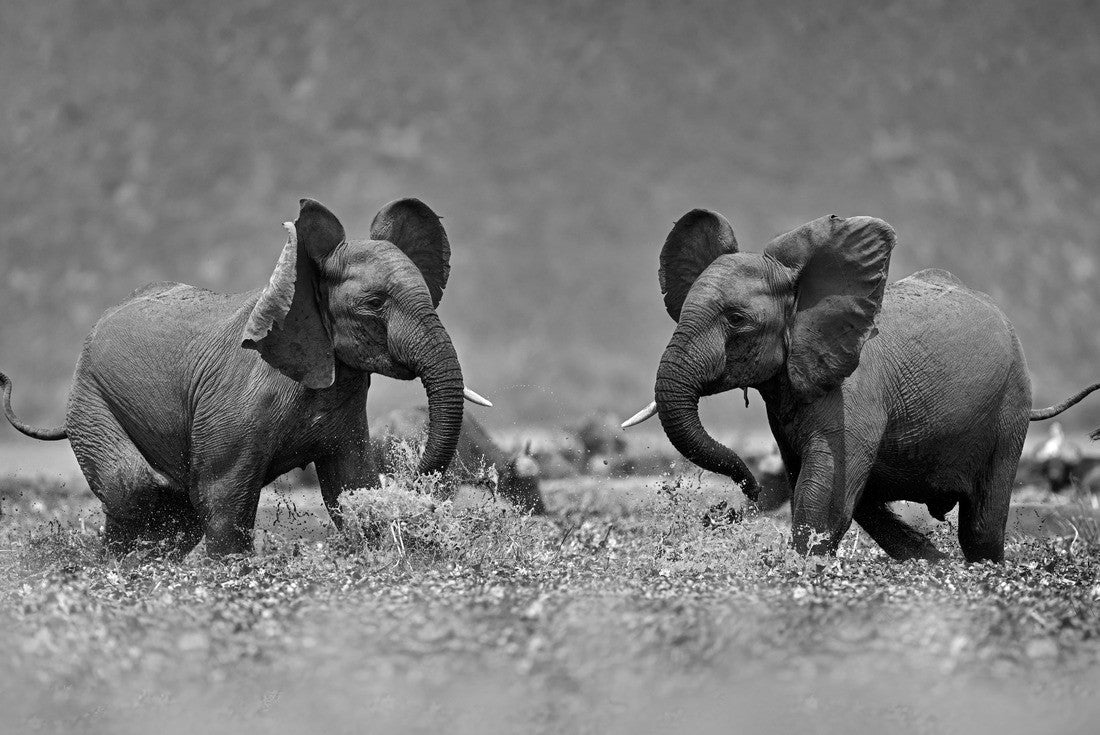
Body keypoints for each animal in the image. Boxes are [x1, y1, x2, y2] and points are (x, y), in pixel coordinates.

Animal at [0, 197, 491, 557]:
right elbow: (222, 498)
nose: (411, 478)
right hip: (90, 399)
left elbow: (350, 487)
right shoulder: (237, 405)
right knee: (133, 487)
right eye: (374, 303)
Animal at [623, 209, 1100, 561]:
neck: (802, 288)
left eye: (737, 319)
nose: (746, 493)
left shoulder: (853, 395)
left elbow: (821, 500)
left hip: (1010, 405)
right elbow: (820, 488)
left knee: (981, 527)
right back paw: (934, 564)